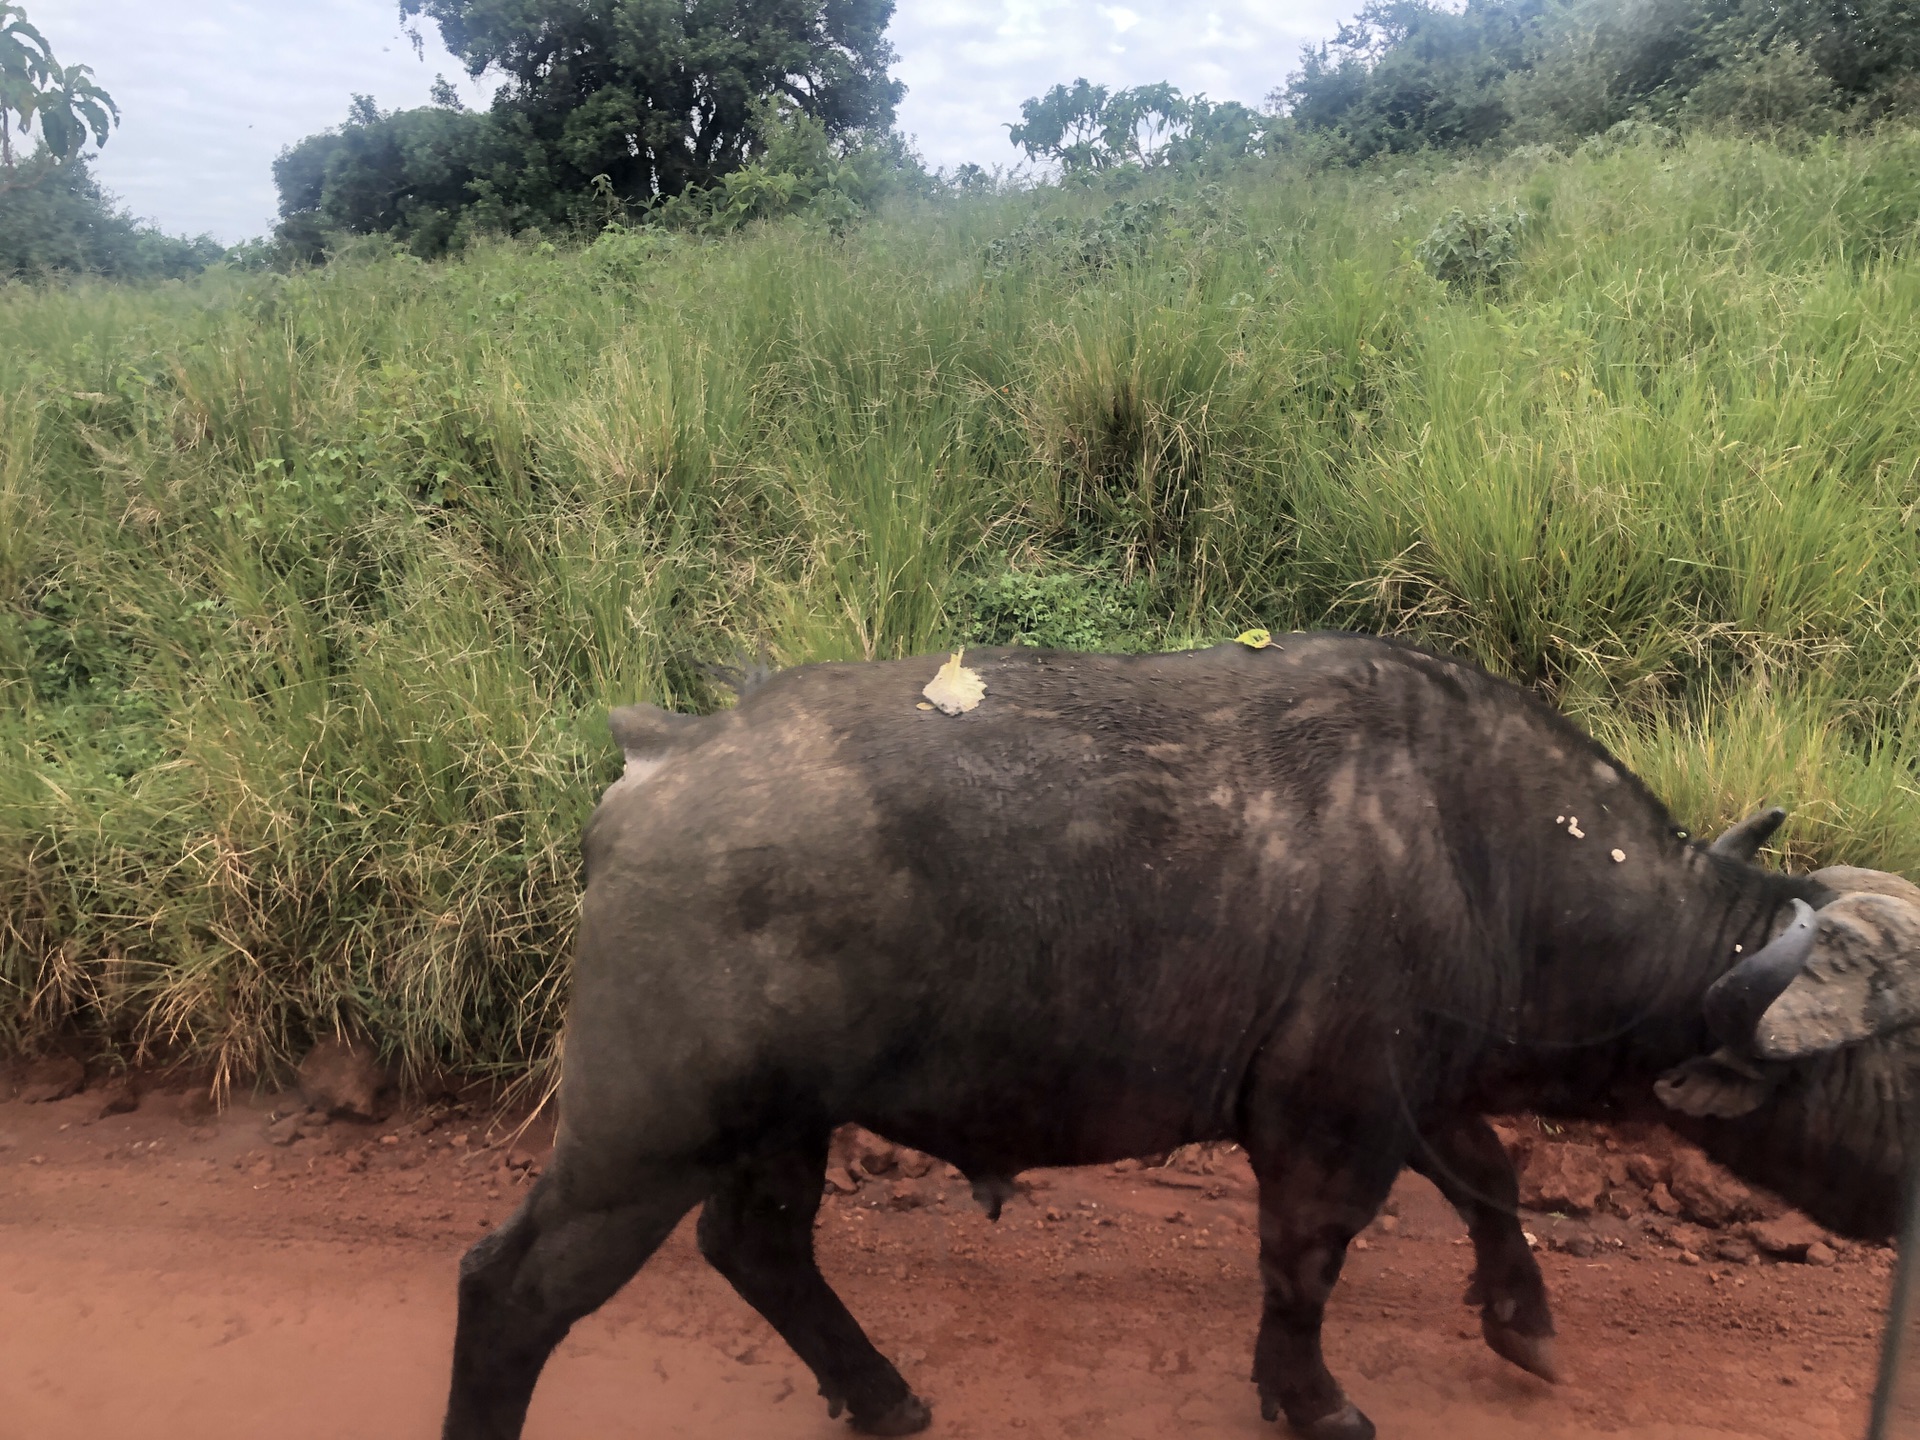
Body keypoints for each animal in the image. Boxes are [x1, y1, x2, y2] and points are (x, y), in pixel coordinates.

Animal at [439, 641, 1920, 1440]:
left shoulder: (1420, 1090)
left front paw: (1523, 1324)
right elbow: (1305, 1266)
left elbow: (1494, 1182)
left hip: (779, 1124)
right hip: (644, 1132)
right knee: (512, 1288)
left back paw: (882, 1390)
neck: (1488, 850)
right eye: (1901, 1063)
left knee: (758, 1247)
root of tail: (666, 756)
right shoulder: (1328, 1125)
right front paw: (1310, 1395)